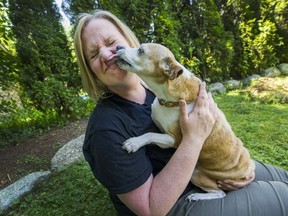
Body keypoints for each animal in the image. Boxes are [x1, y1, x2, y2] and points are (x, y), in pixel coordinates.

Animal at [115, 43, 254, 202]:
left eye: (141, 50)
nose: (118, 46)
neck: (168, 98)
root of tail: (247, 171)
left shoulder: (173, 139)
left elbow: (150, 134)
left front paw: (134, 143)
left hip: (195, 172)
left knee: (220, 193)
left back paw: (197, 196)